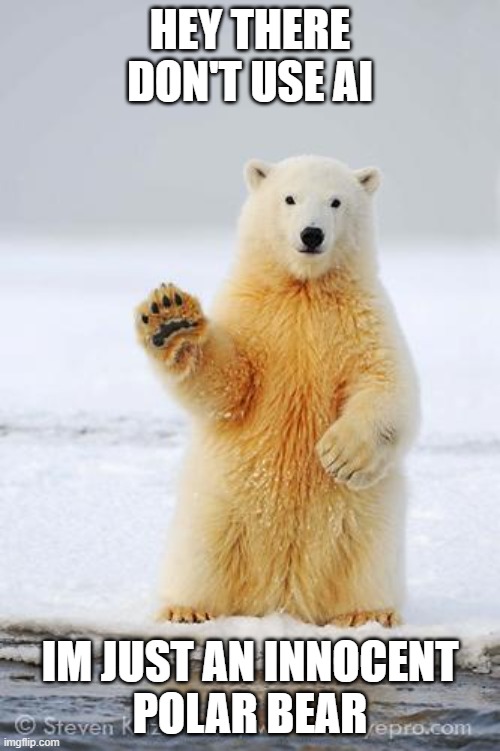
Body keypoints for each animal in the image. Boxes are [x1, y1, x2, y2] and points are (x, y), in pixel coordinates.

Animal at [135, 155, 419, 627]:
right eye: (290, 198)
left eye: (336, 201)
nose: (312, 234)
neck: (303, 289)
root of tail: (283, 596)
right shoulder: (253, 315)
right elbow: (230, 385)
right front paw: (171, 321)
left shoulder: (364, 319)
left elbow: (386, 383)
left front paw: (340, 455)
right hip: (216, 506)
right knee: (200, 553)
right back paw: (185, 608)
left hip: (367, 518)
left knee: (367, 557)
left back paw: (366, 615)